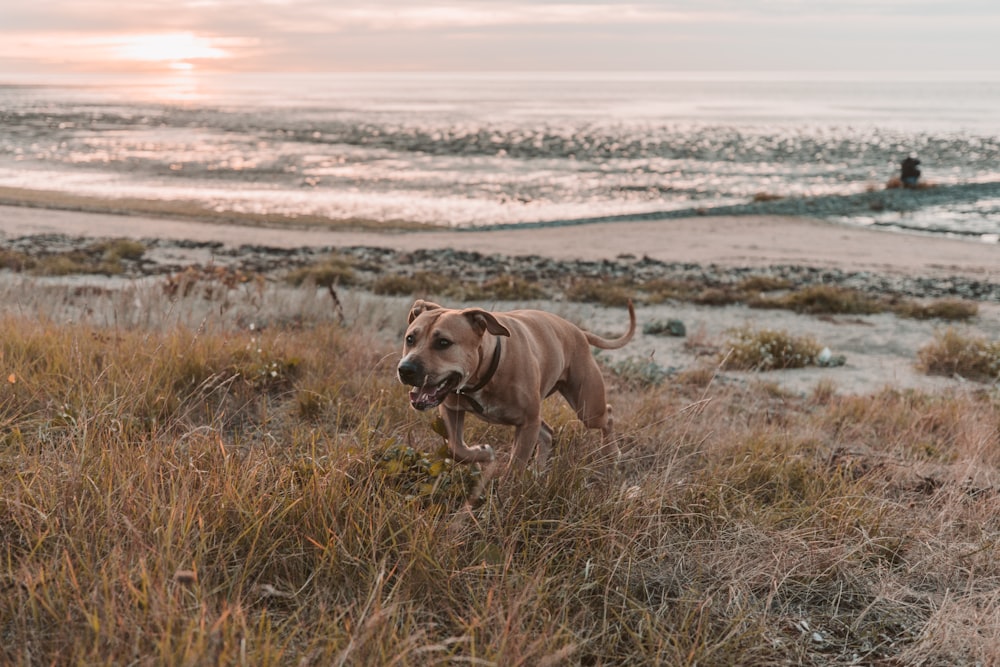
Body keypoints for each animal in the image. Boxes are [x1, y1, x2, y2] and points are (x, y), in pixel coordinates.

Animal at [396, 300, 636, 472]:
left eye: (443, 343)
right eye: (410, 339)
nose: (405, 369)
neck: (485, 371)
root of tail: (578, 331)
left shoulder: (527, 423)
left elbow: (515, 467)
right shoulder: (451, 409)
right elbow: (457, 449)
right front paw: (482, 454)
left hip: (587, 408)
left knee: (607, 415)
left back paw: (613, 453)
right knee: (547, 433)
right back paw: (537, 471)